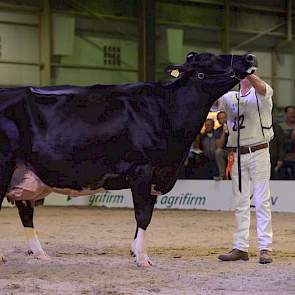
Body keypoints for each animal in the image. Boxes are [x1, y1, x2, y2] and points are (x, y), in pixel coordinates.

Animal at [0, 52, 256, 268]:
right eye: (211, 59)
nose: (249, 57)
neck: (166, 110)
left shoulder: (156, 176)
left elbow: (147, 214)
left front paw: (135, 251)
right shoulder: (143, 170)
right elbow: (142, 214)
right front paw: (142, 258)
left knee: (26, 213)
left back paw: (40, 253)